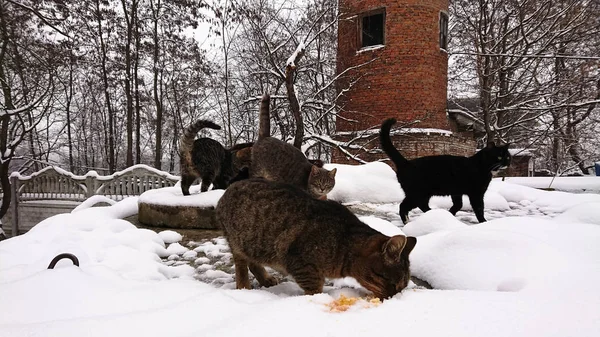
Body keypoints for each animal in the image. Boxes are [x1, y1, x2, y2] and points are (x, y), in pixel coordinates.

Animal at [216, 177, 418, 298]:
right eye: (392, 282)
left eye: (402, 287)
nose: (393, 297)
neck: (344, 245)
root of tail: (230, 188)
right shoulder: (302, 265)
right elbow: (314, 289)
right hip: (238, 241)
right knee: (242, 264)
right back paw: (244, 287)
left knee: (253, 262)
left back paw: (266, 279)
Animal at [380, 118, 510, 223]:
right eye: (499, 157)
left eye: (508, 156)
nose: (507, 162)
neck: (480, 165)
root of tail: (406, 162)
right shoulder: (476, 193)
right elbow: (479, 208)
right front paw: (483, 222)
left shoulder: (456, 192)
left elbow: (458, 205)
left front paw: (450, 213)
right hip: (417, 193)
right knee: (404, 206)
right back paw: (410, 220)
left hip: (423, 193)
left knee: (421, 205)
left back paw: (432, 213)